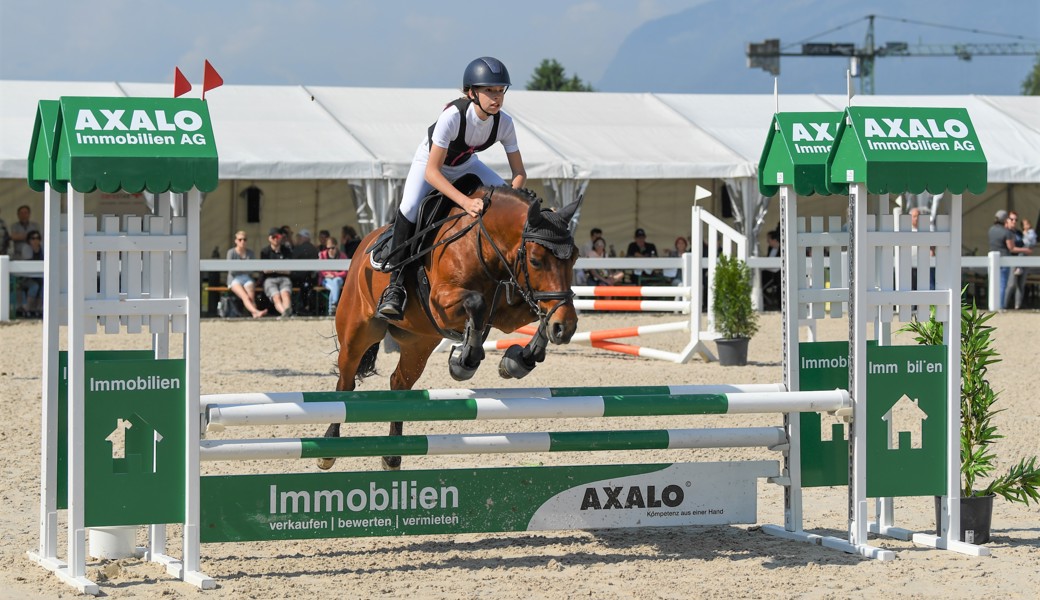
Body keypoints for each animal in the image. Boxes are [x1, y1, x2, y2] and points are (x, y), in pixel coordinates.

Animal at [319, 182, 581, 471]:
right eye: (535, 260)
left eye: (575, 258)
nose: (567, 328)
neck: (483, 246)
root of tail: (364, 246)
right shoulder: (440, 304)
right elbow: (476, 303)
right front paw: (465, 360)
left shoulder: (509, 312)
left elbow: (541, 316)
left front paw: (517, 361)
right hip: (358, 332)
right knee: (345, 383)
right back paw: (328, 449)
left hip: (419, 343)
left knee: (399, 383)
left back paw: (392, 456)